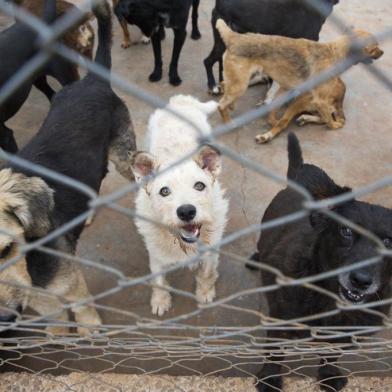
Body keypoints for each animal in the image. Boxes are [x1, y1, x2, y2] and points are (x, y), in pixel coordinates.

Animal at [132, 95, 230, 316]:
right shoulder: (156, 256)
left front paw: (205, 292)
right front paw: (160, 301)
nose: (186, 212)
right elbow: (159, 281)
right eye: (164, 191)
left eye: (199, 185)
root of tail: (180, 101)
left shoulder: (211, 251)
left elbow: (207, 273)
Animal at [216, 18, 384, 144]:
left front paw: (272, 119)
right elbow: (330, 122)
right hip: (241, 85)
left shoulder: (284, 89)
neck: (335, 53)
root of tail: (234, 37)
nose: (383, 53)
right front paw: (335, 125)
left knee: (226, 90)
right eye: (374, 48)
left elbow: (273, 111)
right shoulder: (319, 100)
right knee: (221, 105)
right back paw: (230, 123)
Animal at [250, 133, 392, 390]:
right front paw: (270, 377)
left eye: (389, 242)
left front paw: (329, 374)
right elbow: (275, 352)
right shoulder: (279, 321)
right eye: (345, 231)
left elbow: (331, 354)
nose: (360, 280)